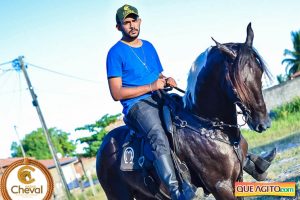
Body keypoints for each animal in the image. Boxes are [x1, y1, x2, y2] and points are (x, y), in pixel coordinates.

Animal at [97, 23, 270, 198]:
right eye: (238, 82)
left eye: (260, 72)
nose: (263, 123)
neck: (207, 126)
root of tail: (103, 146)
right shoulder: (220, 186)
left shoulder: (237, 179)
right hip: (119, 194)